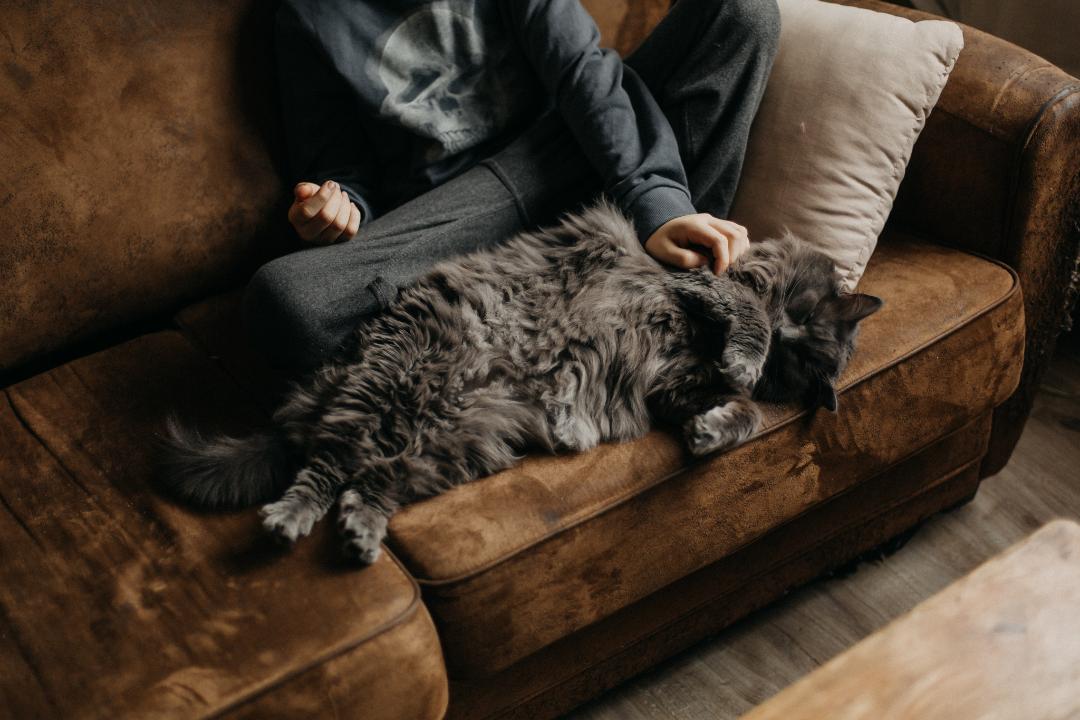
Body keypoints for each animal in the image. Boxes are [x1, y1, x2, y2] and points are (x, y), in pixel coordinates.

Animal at [164, 201, 881, 561]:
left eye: (799, 364)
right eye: (800, 326)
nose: (778, 353)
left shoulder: (671, 385)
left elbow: (744, 412)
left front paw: (712, 429)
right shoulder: (696, 284)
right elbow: (744, 315)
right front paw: (742, 361)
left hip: (457, 442)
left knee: (371, 482)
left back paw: (358, 534)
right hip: (391, 388)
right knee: (324, 466)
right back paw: (289, 521)